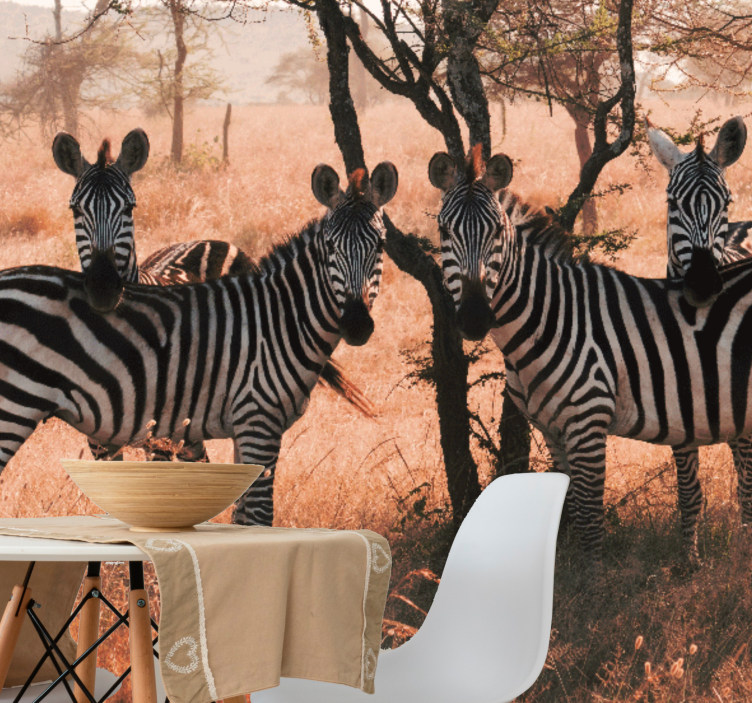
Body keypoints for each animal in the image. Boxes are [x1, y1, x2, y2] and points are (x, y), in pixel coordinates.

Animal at [0, 160, 398, 526]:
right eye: (330, 246)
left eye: (381, 245)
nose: (357, 324)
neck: (279, 318)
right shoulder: (259, 419)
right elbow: (259, 516)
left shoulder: (243, 428)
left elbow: (241, 514)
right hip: (14, 405)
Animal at [429, 145, 752, 566]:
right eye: (444, 231)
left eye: (498, 231)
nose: (473, 317)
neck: (549, 318)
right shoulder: (552, 432)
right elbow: (568, 508)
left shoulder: (588, 423)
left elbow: (590, 520)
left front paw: (593, 578)